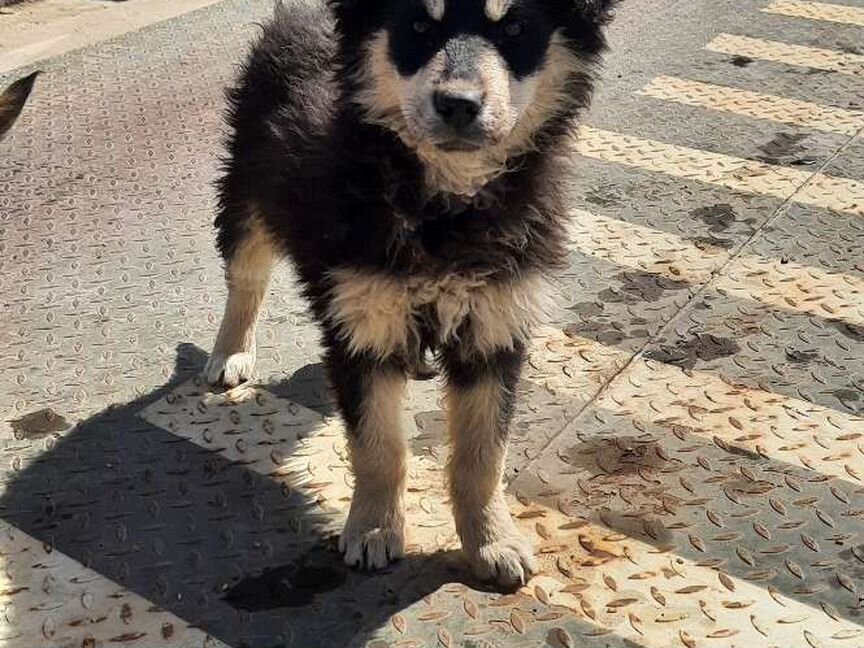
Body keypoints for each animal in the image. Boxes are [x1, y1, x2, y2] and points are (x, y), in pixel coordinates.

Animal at [207, 0, 616, 588]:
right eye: (419, 26)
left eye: (515, 28)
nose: (458, 104)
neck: (445, 206)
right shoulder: (361, 319)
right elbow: (379, 446)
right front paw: (374, 528)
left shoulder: (496, 323)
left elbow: (482, 455)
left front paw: (492, 540)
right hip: (248, 185)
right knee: (246, 277)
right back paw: (231, 351)